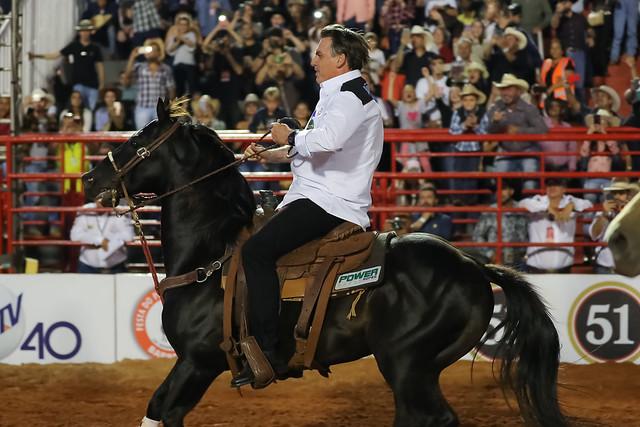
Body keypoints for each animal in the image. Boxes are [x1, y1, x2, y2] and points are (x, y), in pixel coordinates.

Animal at [82, 100, 568, 427]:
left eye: (138, 140)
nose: (88, 177)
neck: (212, 256)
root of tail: (473, 265)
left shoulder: (197, 362)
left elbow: (159, 409)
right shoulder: (193, 367)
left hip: (407, 364)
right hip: (420, 367)